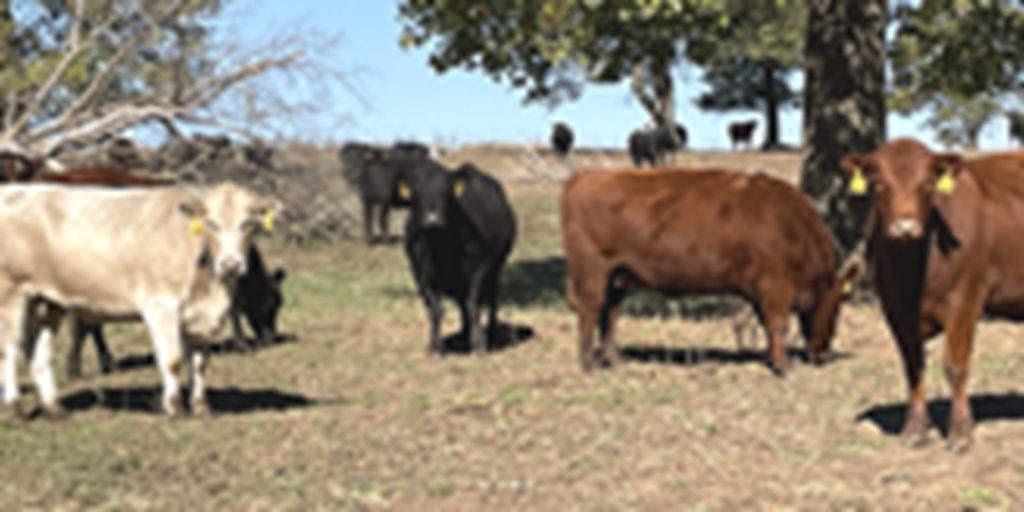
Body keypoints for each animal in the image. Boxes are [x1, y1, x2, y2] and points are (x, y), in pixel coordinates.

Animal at [0, 182, 280, 418]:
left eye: (249, 223)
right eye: (210, 223)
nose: (231, 264)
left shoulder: (199, 315)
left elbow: (200, 362)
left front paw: (201, 407)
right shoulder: (161, 305)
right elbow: (173, 359)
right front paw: (174, 407)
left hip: (46, 302)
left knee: (40, 354)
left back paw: (54, 409)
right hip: (11, 294)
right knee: (9, 350)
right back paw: (15, 408)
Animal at [400, 160, 517, 356]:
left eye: (446, 192)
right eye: (417, 193)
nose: (433, 218)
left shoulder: (481, 267)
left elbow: (473, 304)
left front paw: (479, 345)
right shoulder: (420, 275)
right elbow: (435, 310)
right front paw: (434, 347)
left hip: (496, 268)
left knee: (492, 299)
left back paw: (490, 333)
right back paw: (463, 334)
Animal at [561, 168, 857, 375]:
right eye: (837, 306)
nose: (821, 354)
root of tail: (583, 176)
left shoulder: (762, 290)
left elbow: (767, 324)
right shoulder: (775, 285)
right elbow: (778, 323)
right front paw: (783, 365)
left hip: (617, 277)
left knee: (609, 314)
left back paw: (615, 360)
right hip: (592, 272)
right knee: (590, 310)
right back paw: (588, 363)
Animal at [841, 137, 1024, 451]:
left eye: (928, 181)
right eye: (877, 182)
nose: (905, 227)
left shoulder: (965, 300)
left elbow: (955, 366)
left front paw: (960, 434)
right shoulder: (894, 308)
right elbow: (913, 366)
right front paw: (914, 430)